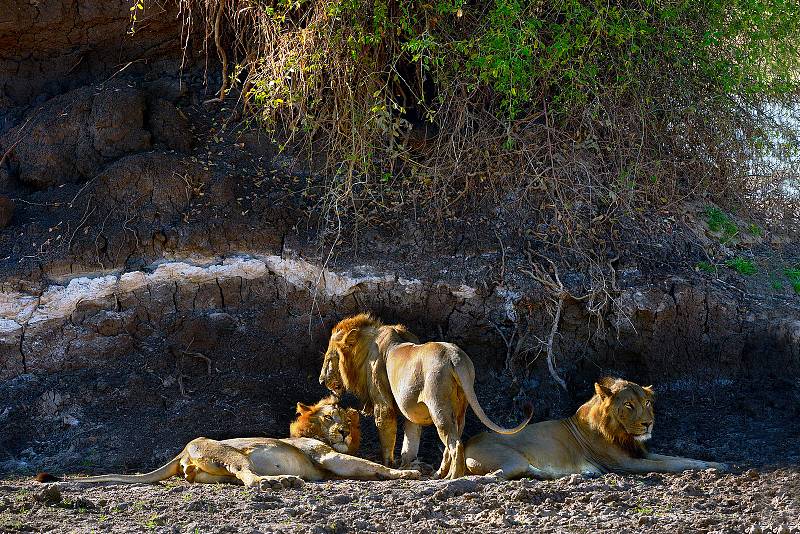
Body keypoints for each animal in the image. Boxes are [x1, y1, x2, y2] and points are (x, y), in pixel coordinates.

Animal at [36, 396, 418, 492]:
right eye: (328, 418)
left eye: (346, 420)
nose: (342, 432)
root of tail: (182, 450)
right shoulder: (327, 457)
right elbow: (372, 466)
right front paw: (410, 473)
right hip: (230, 453)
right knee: (248, 479)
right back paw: (279, 481)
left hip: (211, 470)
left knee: (218, 479)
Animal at [318, 314, 532, 482]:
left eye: (329, 358)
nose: (321, 380)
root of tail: (455, 357)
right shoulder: (411, 411)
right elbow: (410, 441)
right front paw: (407, 465)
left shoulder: (382, 404)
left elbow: (387, 433)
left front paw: (390, 464)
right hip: (460, 406)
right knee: (454, 438)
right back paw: (440, 474)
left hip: (438, 404)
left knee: (454, 443)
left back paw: (453, 477)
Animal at [466, 376, 728, 482]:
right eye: (628, 405)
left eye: (647, 403)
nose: (648, 423)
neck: (623, 435)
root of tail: (465, 444)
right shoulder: (623, 463)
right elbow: (670, 465)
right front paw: (705, 467)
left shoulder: (641, 452)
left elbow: (679, 458)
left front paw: (714, 464)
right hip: (512, 459)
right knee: (507, 473)